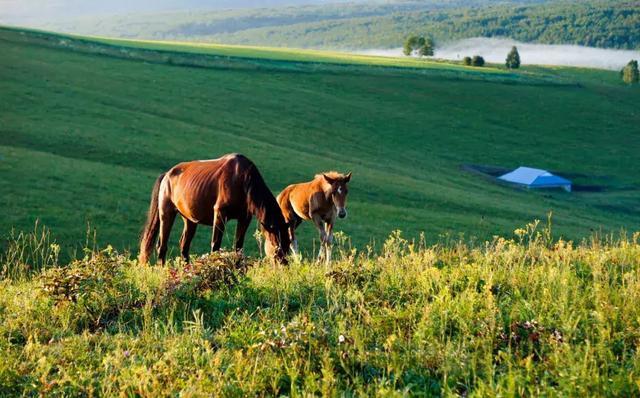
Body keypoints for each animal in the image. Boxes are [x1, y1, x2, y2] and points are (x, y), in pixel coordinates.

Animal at [141, 154, 292, 266]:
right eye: (276, 242)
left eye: (288, 242)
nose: (284, 264)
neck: (242, 180)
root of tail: (166, 175)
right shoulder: (220, 214)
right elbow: (215, 245)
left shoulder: (244, 218)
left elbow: (238, 246)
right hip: (166, 214)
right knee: (162, 246)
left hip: (189, 220)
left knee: (184, 245)